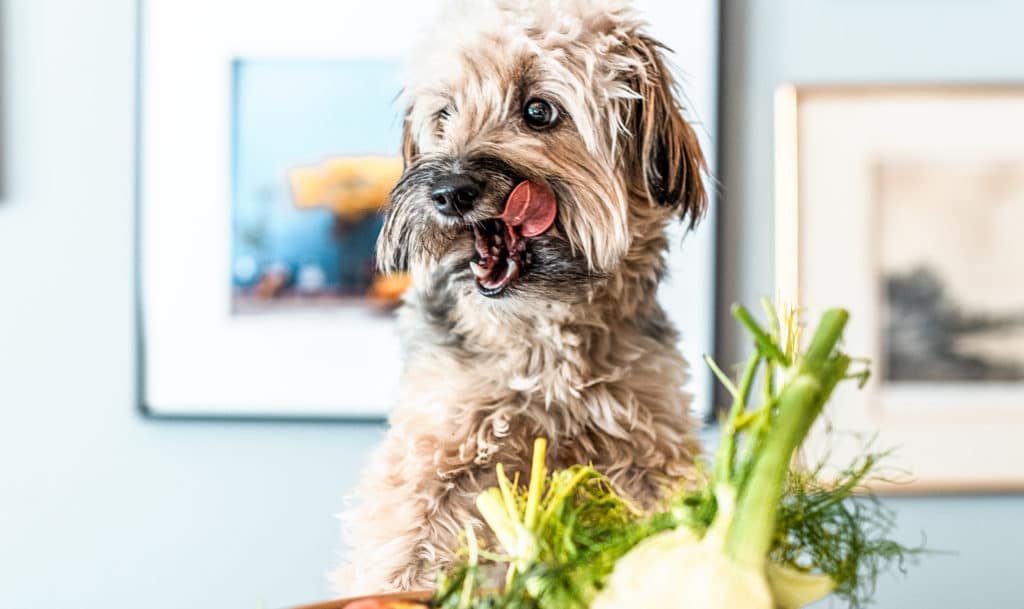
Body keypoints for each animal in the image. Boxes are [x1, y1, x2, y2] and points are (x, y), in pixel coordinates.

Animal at [331, 0, 708, 593]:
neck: (543, 343)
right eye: (444, 115)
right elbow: (398, 552)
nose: (447, 193)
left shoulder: (651, 451)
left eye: (538, 111)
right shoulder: (433, 453)